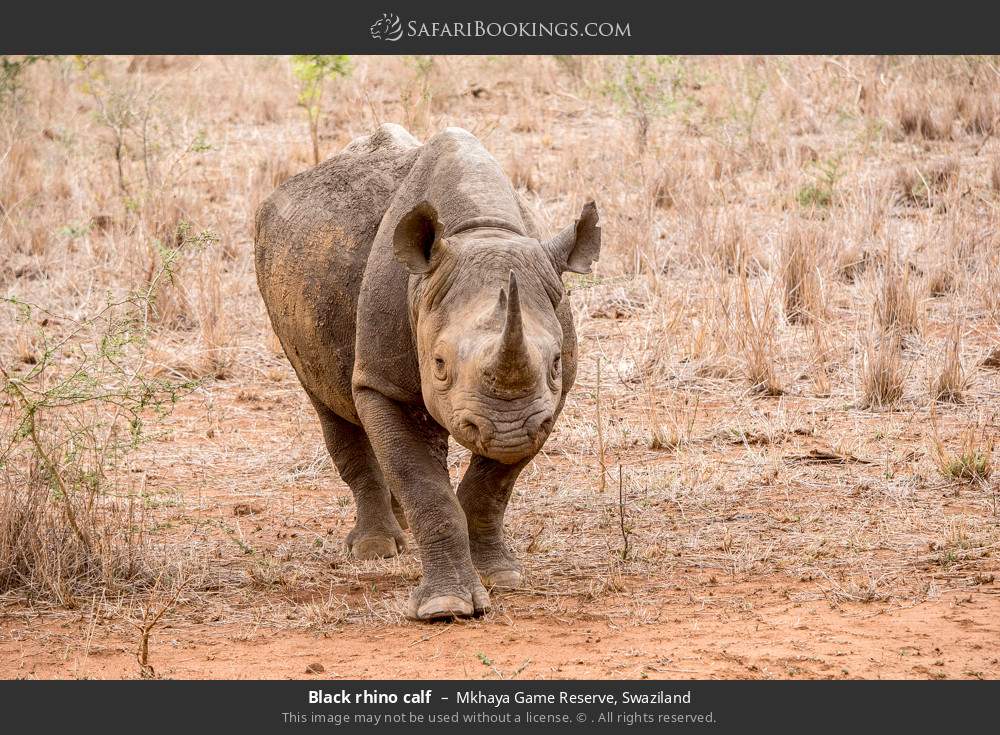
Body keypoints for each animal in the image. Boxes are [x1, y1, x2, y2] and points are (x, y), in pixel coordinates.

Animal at [254, 124, 600, 620]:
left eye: (554, 363)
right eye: (438, 364)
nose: (506, 431)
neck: (480, 232)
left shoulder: (549, 401)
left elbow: (490, 488)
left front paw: (499, 577)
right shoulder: (382, 384)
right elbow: (424, 485)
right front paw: (445, 607)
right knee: (329, 406)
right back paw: (377, 549)